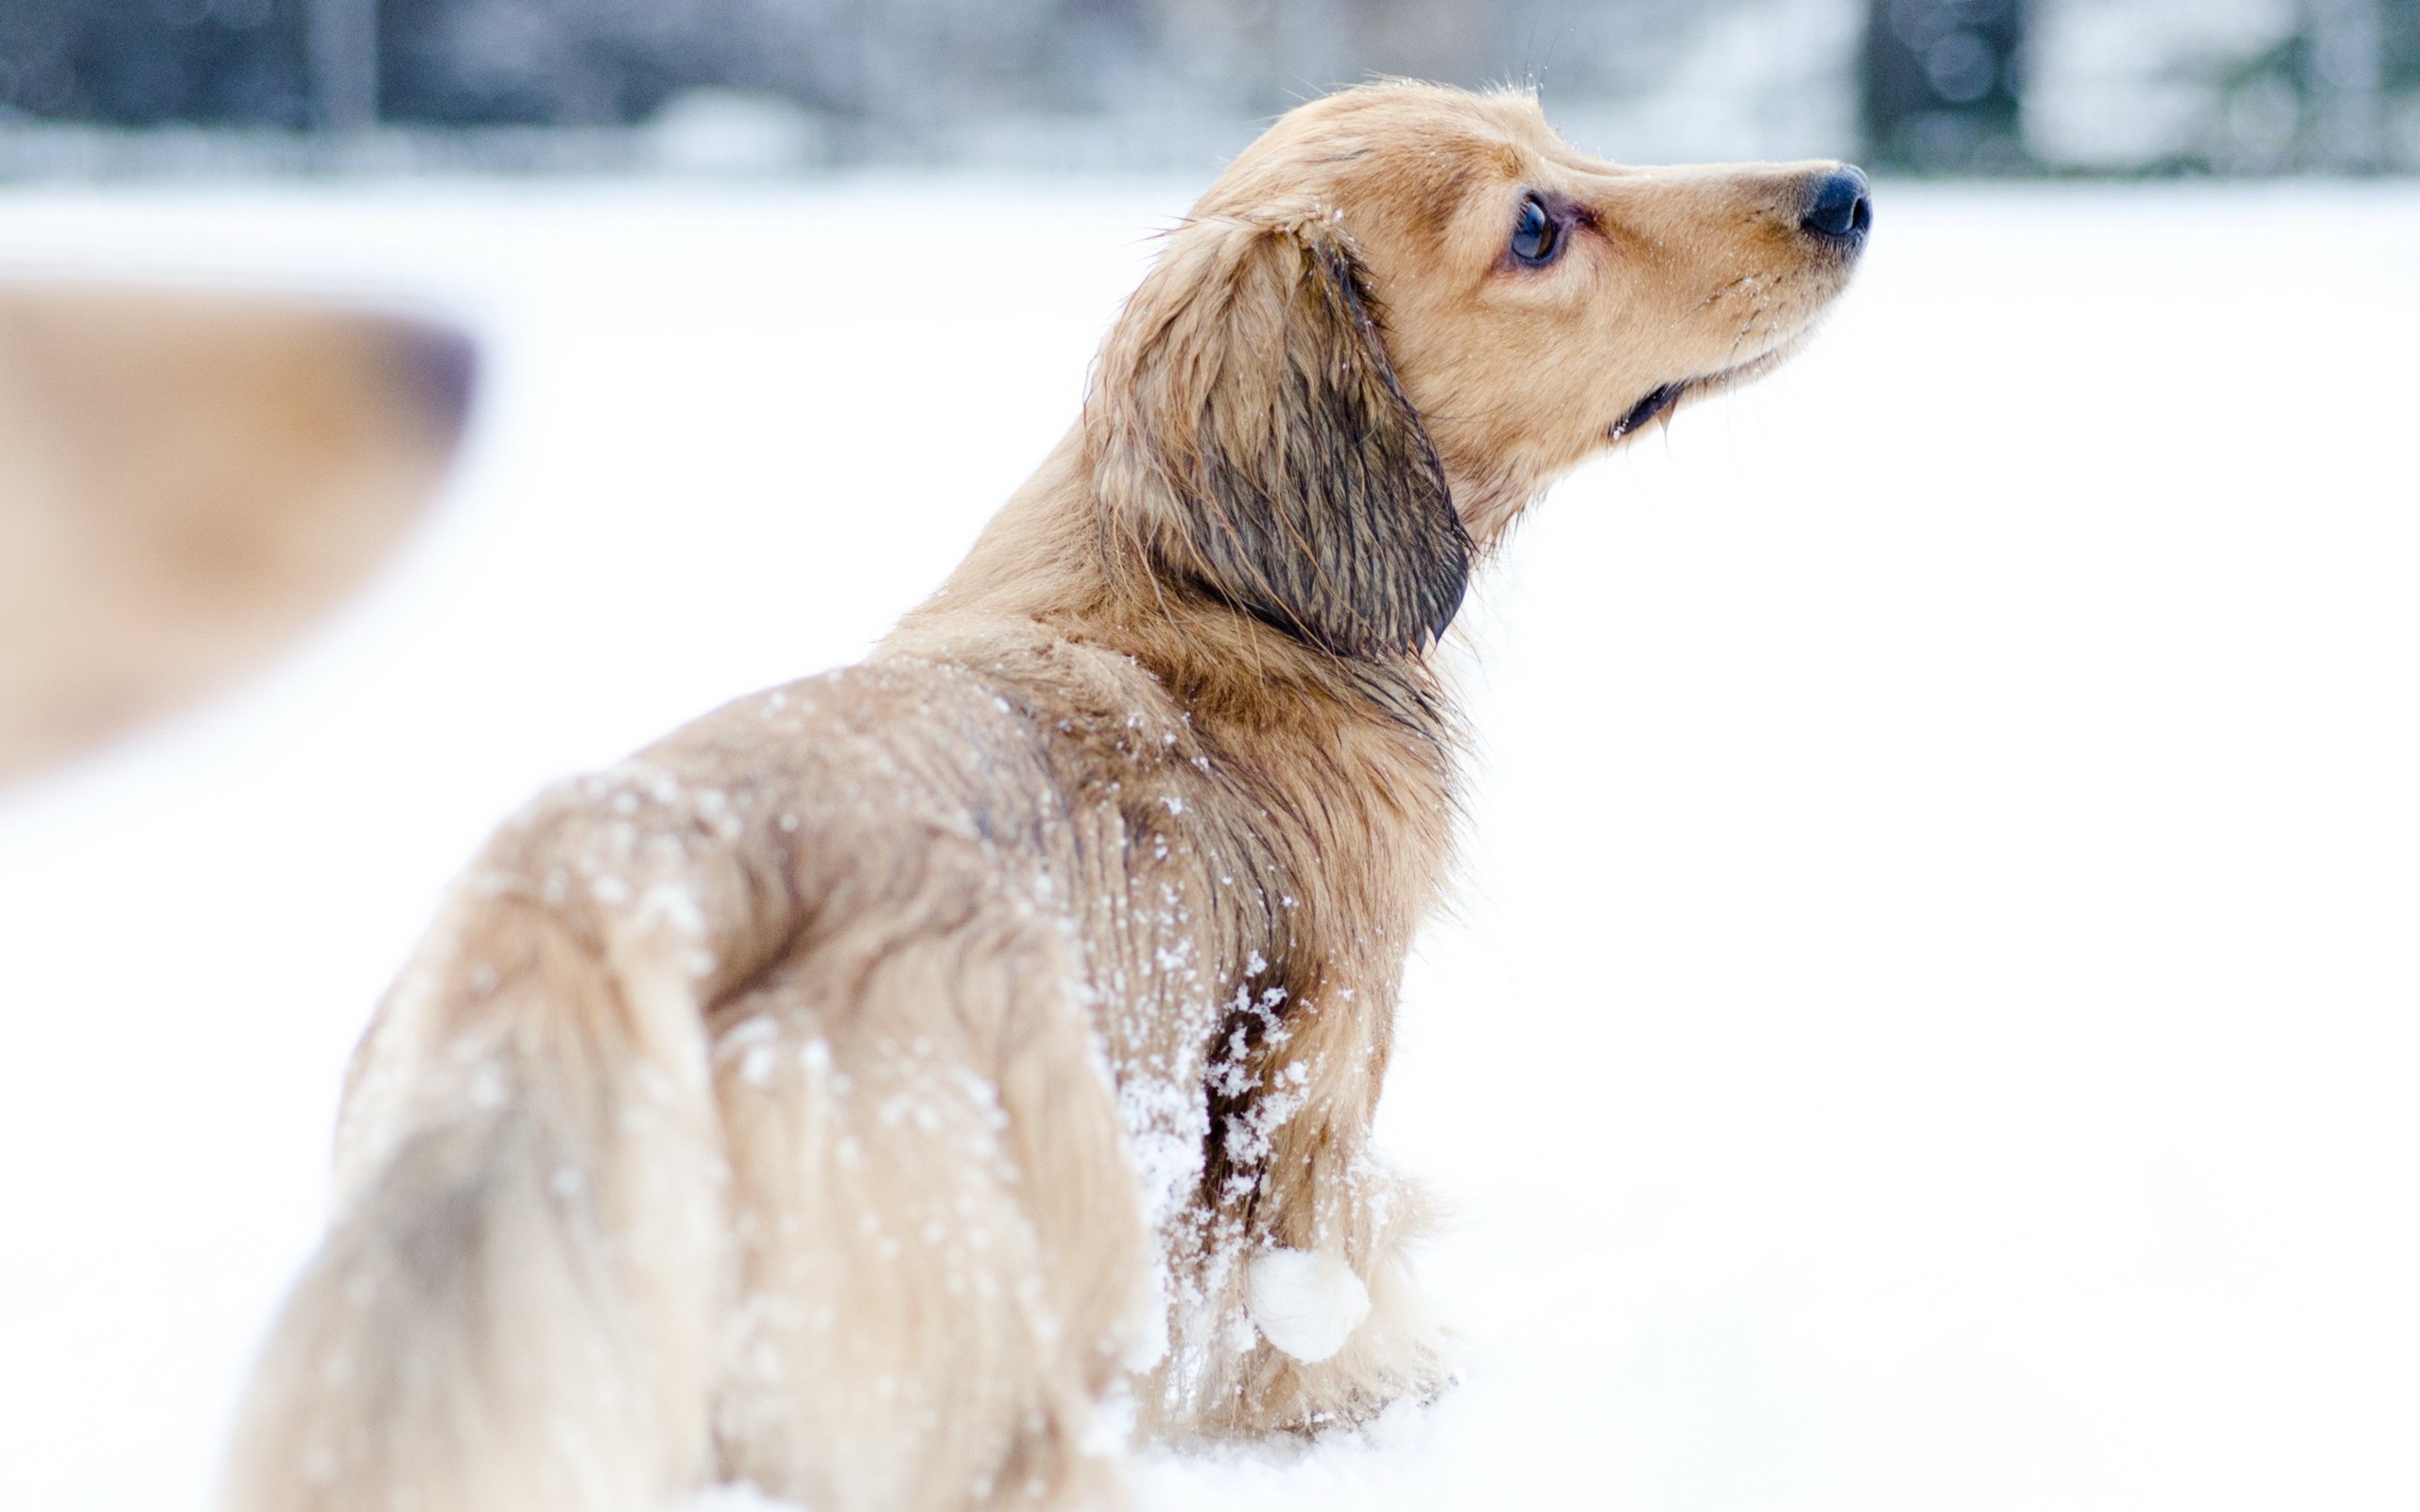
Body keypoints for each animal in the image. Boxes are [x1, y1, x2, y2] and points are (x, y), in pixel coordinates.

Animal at [222, 79, 1868, 1509]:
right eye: (1533, 228)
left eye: (1560, 142)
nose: (1846, 194)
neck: (1196, 584)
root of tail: (615, 879)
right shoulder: (1315, 1062)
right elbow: (1306, 1275)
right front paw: (1356, 1391)